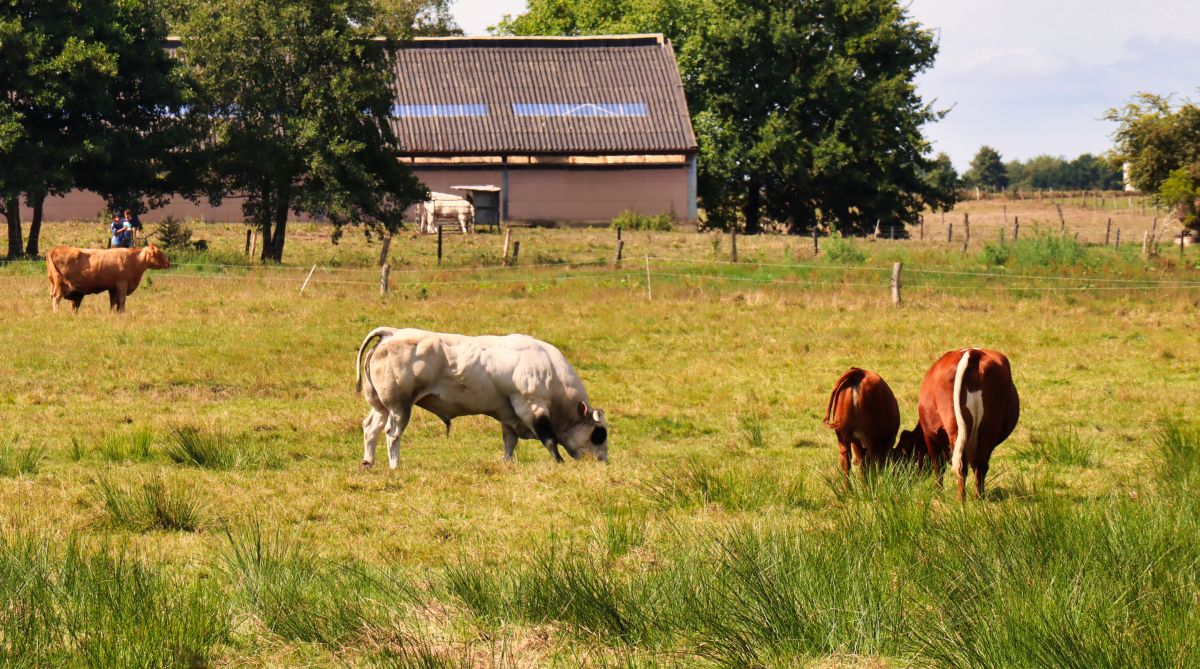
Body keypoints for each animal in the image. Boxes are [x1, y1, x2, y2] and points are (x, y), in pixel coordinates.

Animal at [350, 328, 604, 469]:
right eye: (599, 434)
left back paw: (368, 462)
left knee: (370, 428)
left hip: (381, 407)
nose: (604, 461)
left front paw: (507, 464)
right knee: (392, 434)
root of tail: (391, 333)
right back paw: (395, 465)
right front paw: (559, 462)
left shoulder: (508, 414)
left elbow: (509, 442)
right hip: (399, 407)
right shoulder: (532, 407)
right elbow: (550, 440)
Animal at [897, 352, 1017, 498]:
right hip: (989, 428)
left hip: (955, 427)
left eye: (904, 454)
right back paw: (979, 497)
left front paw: (938, 493)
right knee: (981, 465)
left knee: (961, 466)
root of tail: (973, 352)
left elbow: (938, 466)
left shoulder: (929, 435)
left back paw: (960, 499)